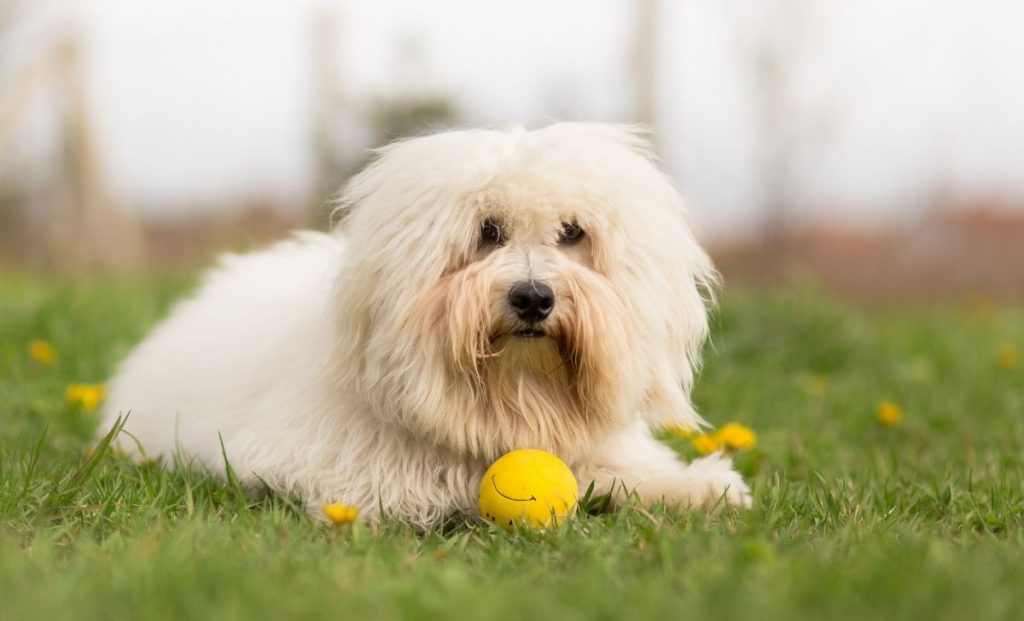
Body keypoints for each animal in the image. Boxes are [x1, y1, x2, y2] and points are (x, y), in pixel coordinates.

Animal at [101, 122, 753, 524]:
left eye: (573, 233)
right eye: (487, 231)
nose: (533, 298)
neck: (514, 394)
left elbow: (620, 469)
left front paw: (699, 488)